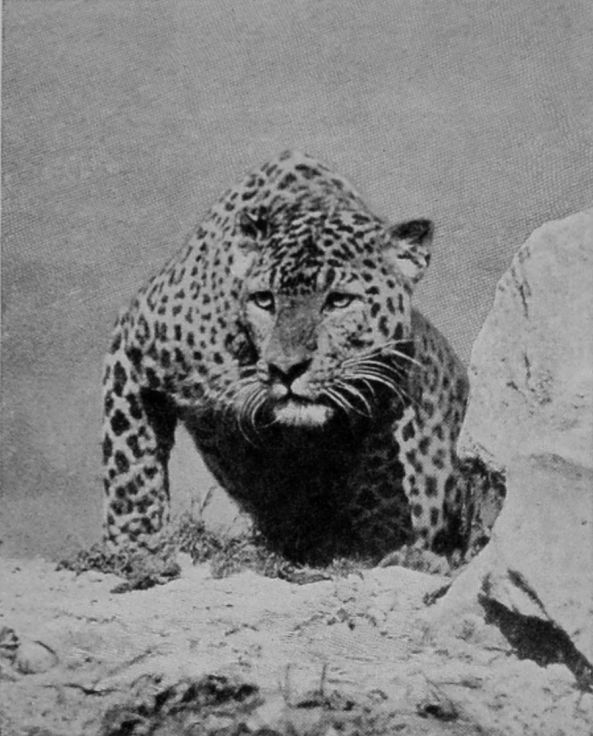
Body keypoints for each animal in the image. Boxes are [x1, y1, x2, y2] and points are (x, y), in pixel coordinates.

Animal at [101, 151, 472, 565]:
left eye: (339, 301)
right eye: (264, 299)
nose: (286, 369)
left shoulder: (389, 388)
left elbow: (380, 476)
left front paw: (380, 544)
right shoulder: (132, 348)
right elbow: (129, 463)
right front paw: (133, 544)